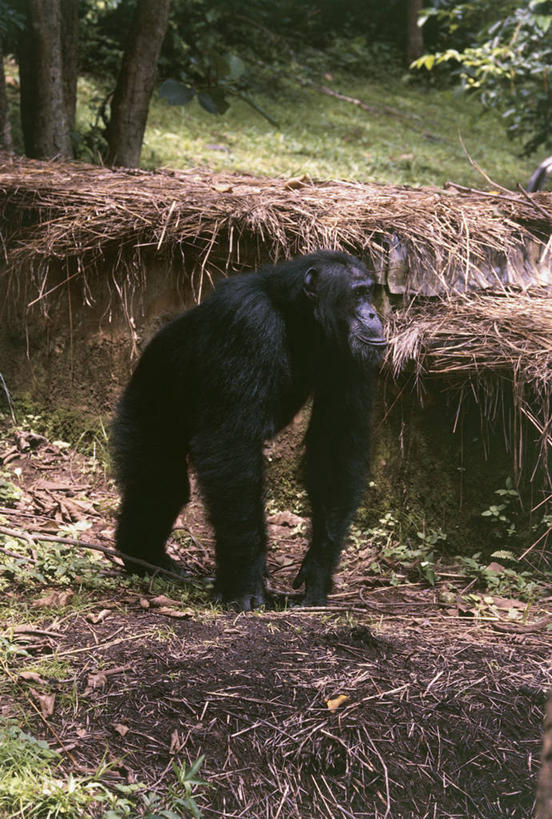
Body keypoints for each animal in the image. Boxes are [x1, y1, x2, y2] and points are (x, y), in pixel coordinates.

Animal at [112, 250, 386, 608]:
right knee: (160, 485)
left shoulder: (348, 357)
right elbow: (232, 445)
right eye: (357, 294)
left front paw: (318, 570)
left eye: (369, 292)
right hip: (143, 411)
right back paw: (140, 557)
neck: (296, 317)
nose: (372, 312)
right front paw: (243, 583)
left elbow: (336, 446)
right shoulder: (246, 323)